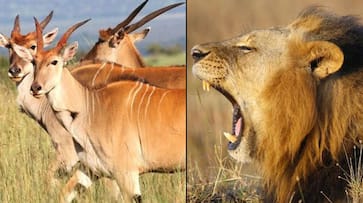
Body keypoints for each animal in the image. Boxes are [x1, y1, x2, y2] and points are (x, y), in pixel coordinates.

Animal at [14, 18, 185, 202]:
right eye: (34, 61)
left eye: (54, 61)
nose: (35, 88)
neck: (92, 107)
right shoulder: (90, 170)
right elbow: (64, 193)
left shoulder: (126, 174)